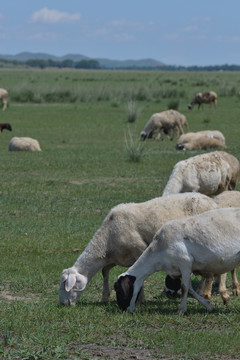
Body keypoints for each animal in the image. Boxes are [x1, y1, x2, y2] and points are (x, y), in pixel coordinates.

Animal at [58, 193, 219, 306]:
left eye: (65, 285)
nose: (63, 304)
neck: (107, 237)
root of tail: (213, 202)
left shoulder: (140, 250)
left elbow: (139, 275)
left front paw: (140, 300)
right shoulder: (116, 257)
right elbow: (105, 271)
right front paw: (105, 297)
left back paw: (205, 293)